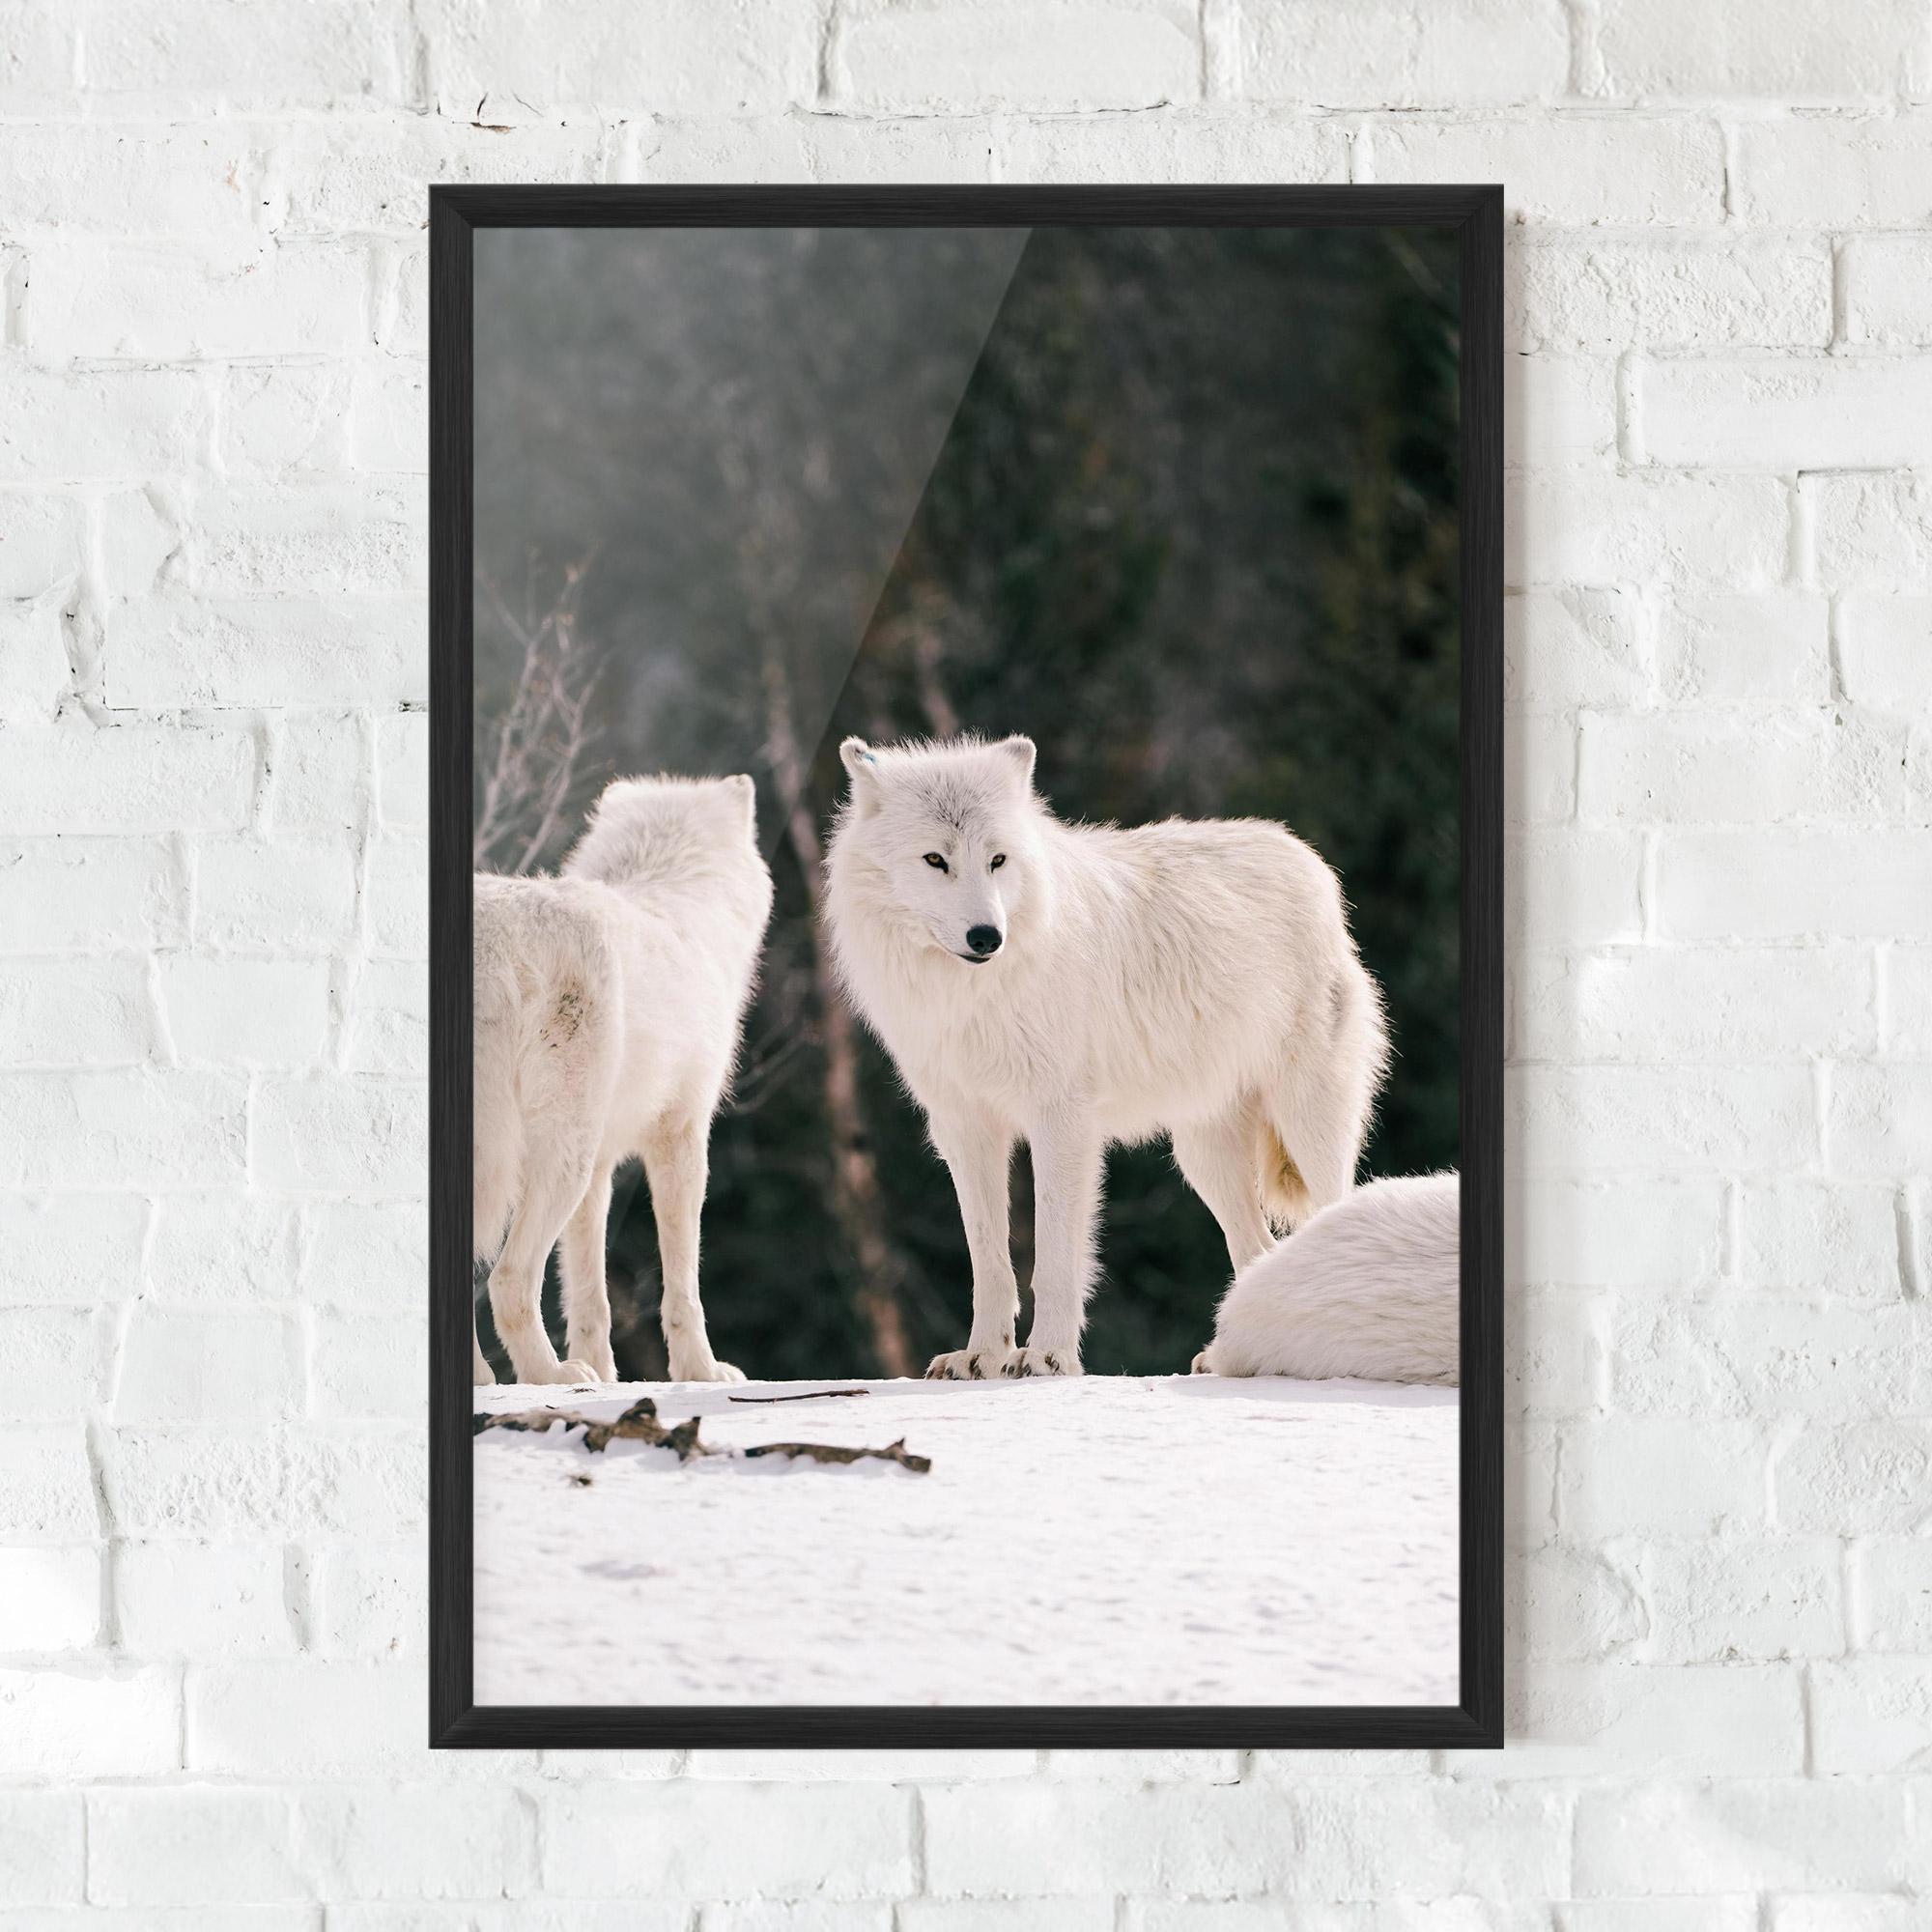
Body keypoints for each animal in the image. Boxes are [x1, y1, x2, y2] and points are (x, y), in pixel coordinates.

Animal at [472, 774, 772, 1387]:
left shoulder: (603, 1166)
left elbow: (589, 1293)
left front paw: (607, 1372)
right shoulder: (682, 1136)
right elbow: (683, 1282)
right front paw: (700, 1371)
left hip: (562, 1157)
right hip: (560, 1158)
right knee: (508, 1281)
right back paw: (553, 1376)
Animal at [823, 734, 1389, 1379]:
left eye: (997, 860)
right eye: (935, 860)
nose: (987, 937)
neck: (974, 996)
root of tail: (1306, 858)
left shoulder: (1062, 1121)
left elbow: (1054, 1257)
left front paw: (1046, 1356)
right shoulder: (965, 1128)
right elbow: (988, 1261)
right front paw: (982, 1357)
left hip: (1308, 1127)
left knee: (1331, 1214)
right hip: (1202, 1158)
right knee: (1258, 1250)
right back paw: (1230, 1360)